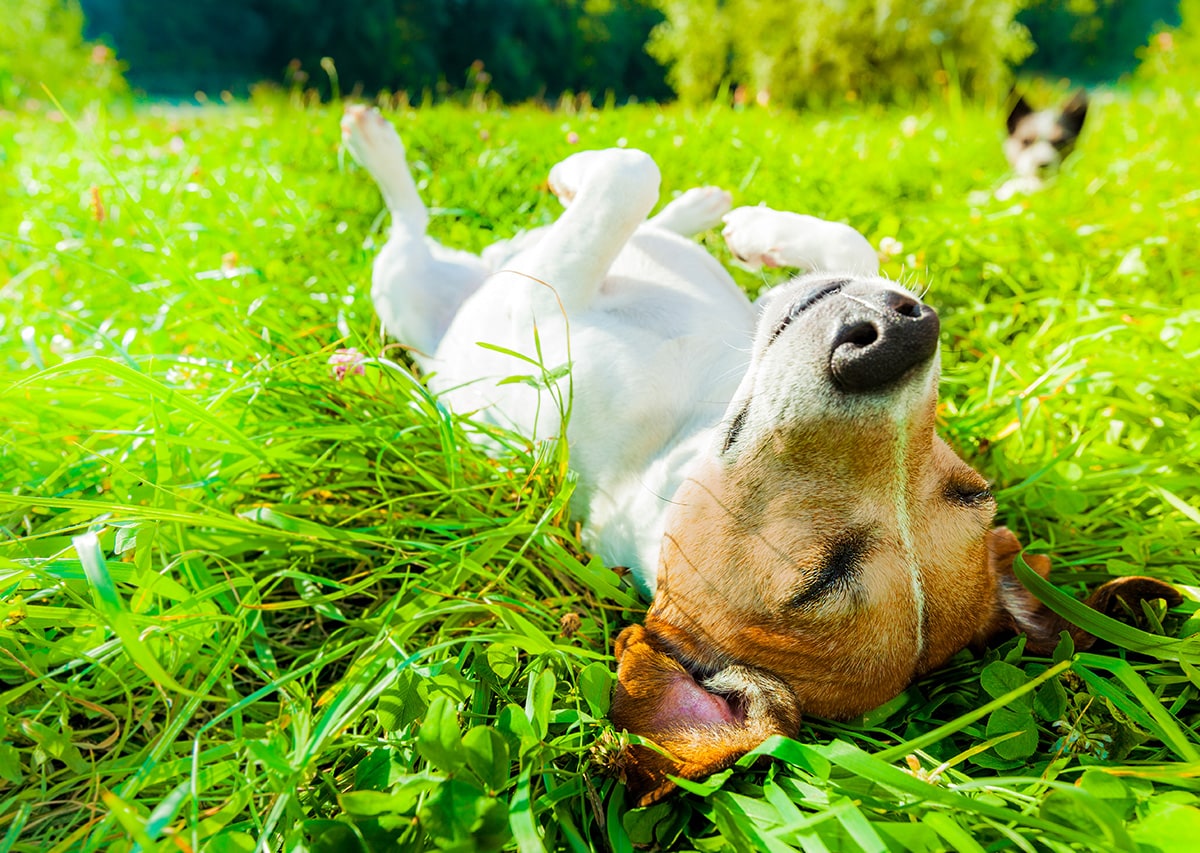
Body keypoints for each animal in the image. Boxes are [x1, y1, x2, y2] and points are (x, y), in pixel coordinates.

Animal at [343, 103, 1176, 806]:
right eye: (972, 489)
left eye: (818, 579)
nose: (896, 340)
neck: (694, 417)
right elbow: (836, 240)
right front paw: (757, 232)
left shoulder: (540, 319)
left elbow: (628, 174)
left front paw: (597, 180)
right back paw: (698, 208)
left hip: (405, 290)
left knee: (411, 231)